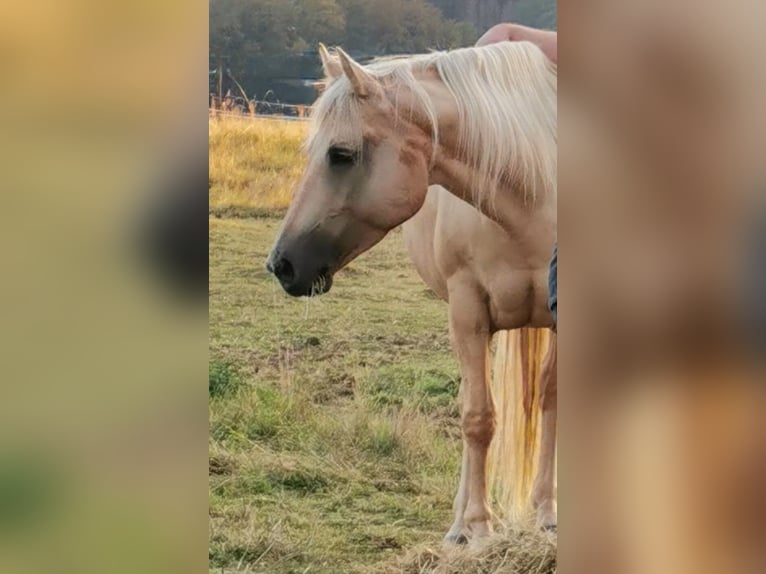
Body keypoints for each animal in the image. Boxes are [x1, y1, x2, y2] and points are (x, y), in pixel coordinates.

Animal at [267, 42, 557, 540]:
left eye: (340, 154)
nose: (281, 264)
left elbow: (549, 402)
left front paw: (546, 514)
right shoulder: (467, 311)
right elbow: (478, 418)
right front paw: (478, 527)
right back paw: (459, 524)